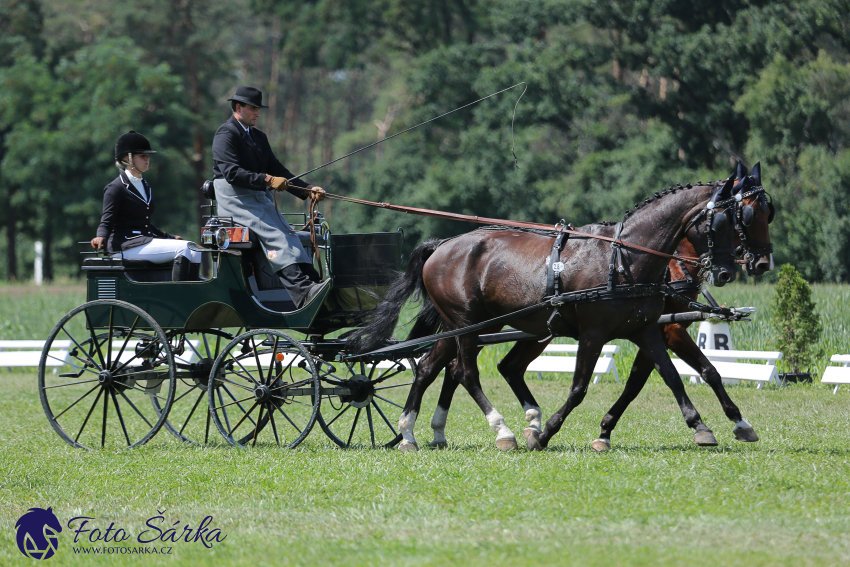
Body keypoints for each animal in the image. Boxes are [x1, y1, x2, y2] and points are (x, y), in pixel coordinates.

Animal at [348, 180, 740, 450]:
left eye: (740, 220)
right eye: (720, 223)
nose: (726, 272)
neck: (624, 260)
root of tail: (442, 245)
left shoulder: (645, 329)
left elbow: (672, 376)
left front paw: (705, 427)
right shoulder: (595, 333)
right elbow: (580, 387)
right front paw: (548, 432)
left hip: (463, 326)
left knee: (432, 369)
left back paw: (413, 433)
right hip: (467, 325)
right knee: (466, 373)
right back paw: (503, 431)